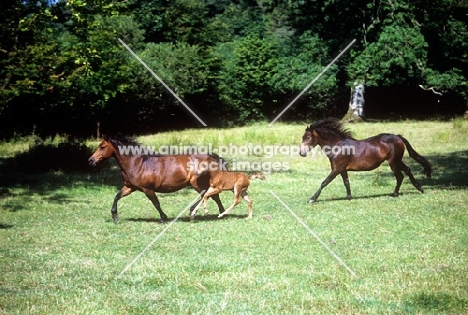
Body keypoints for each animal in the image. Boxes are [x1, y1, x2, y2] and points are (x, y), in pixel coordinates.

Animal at [88, 135, 228, 223]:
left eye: (102, 147)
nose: (91, 160)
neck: (137, 163)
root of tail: (211, 157)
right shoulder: (130, 187)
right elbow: (117, 196)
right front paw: (115, 217)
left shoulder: (147, 189)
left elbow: (156, 203)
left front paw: (163, 218)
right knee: (213, 195)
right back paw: (222, 213)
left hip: (196, 183)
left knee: (206, 194)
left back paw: (193, 211)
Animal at [300, 119, 432, 204]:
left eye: (308, 137)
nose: (301, 153)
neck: (338, 146)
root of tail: (398, 137)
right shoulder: (342, 169)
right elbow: (346, 183)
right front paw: (349, 197)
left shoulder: (336, 169)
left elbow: (324, 182)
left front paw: (312, 199)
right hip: (397, 161)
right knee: (408, 171)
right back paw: (420, 188)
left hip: (393, 162)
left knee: (399, 176)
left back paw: (395, 194)